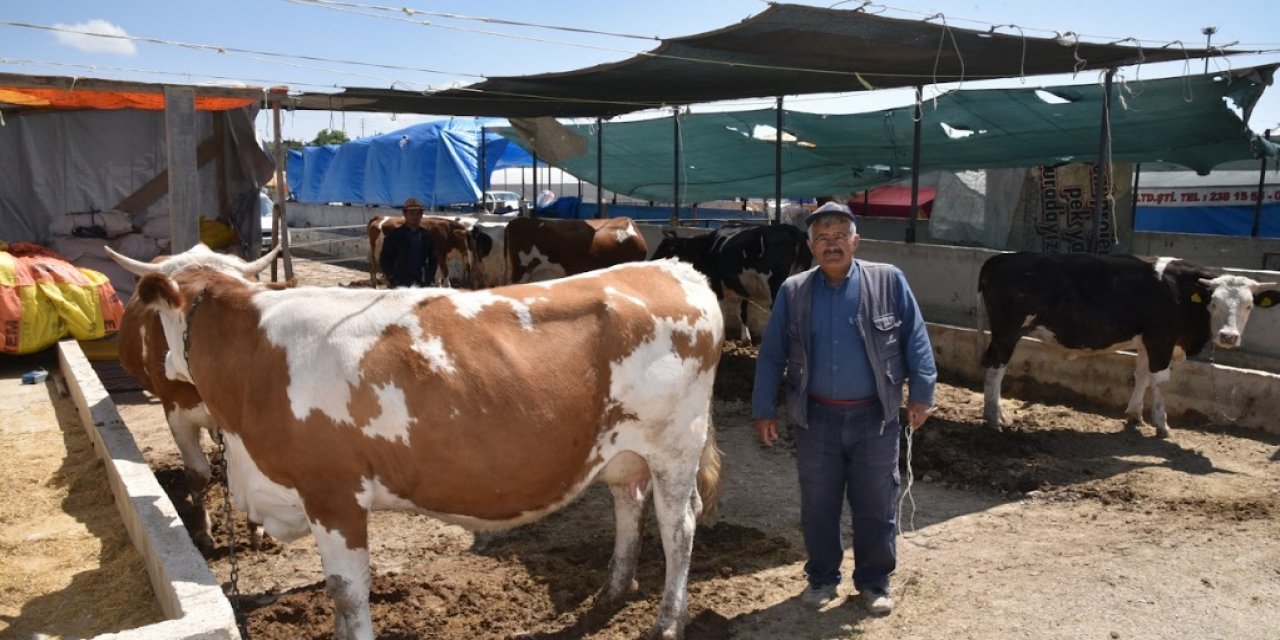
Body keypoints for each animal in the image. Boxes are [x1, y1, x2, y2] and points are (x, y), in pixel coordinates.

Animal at [133, 249, 727, 640]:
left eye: (158, 318)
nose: (157, 366)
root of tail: (670, 266)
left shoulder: (332, 493)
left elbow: (347, 591)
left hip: (675, 445)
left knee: (678, 527)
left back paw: (667, 621)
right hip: (624, 450)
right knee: (629, 503)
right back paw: (613, 590)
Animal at [650, 221, 808, 343]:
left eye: (664, 248)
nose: (650, 261)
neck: (706, 247)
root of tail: (789, 228)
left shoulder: (716, 283)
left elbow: (722, 310)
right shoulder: (742, 286)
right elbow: (742, 311)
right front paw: (746, 338)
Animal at [972, 252, 1274, 437]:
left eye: (1248, 305)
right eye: (1214, 303)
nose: (1228, 336)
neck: (1181, 292)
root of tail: (1000, 259)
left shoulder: (1146, 342)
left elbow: (1141, 376)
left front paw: (1134, 415)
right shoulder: (1161, 340)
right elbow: (1160, 381)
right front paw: (1163, 426)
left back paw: (999, 415)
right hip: (1008, 331)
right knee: (995, 368)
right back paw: (993, 419)